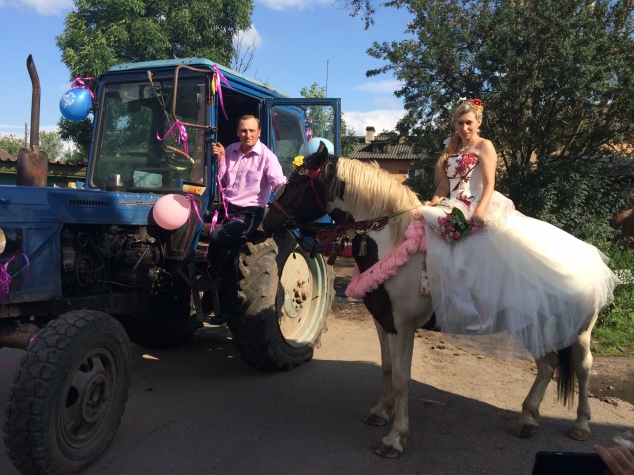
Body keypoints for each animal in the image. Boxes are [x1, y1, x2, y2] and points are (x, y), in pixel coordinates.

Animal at [260, 144, 596, 458]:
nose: (267, 222)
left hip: (578, 331)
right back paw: (528, 418)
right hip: (535, 324)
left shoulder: (404, 326)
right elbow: (386, 368)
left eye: (296, 182)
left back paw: (581, 424)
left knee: (582, 368)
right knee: (548, 365)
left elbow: (402, 379)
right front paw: (382, 412)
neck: (394, 242)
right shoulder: (383, 322)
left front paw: (396, 437)